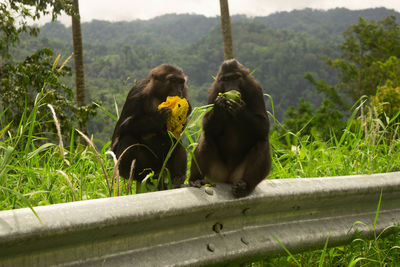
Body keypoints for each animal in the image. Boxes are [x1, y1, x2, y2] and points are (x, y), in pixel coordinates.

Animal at [189, 60, 270, 199]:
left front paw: (240, 109)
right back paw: (196, 179)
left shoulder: (255, 88)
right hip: (217, 172)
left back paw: (245, 186)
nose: (231, 86)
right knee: (207, 137)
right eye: (226, 79)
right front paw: (219, 107)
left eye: (235, 77)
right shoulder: (214, 90)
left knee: (262, 141)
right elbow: (206, 124)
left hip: (238, 174)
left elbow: (264, 126)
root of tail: (228, 177)